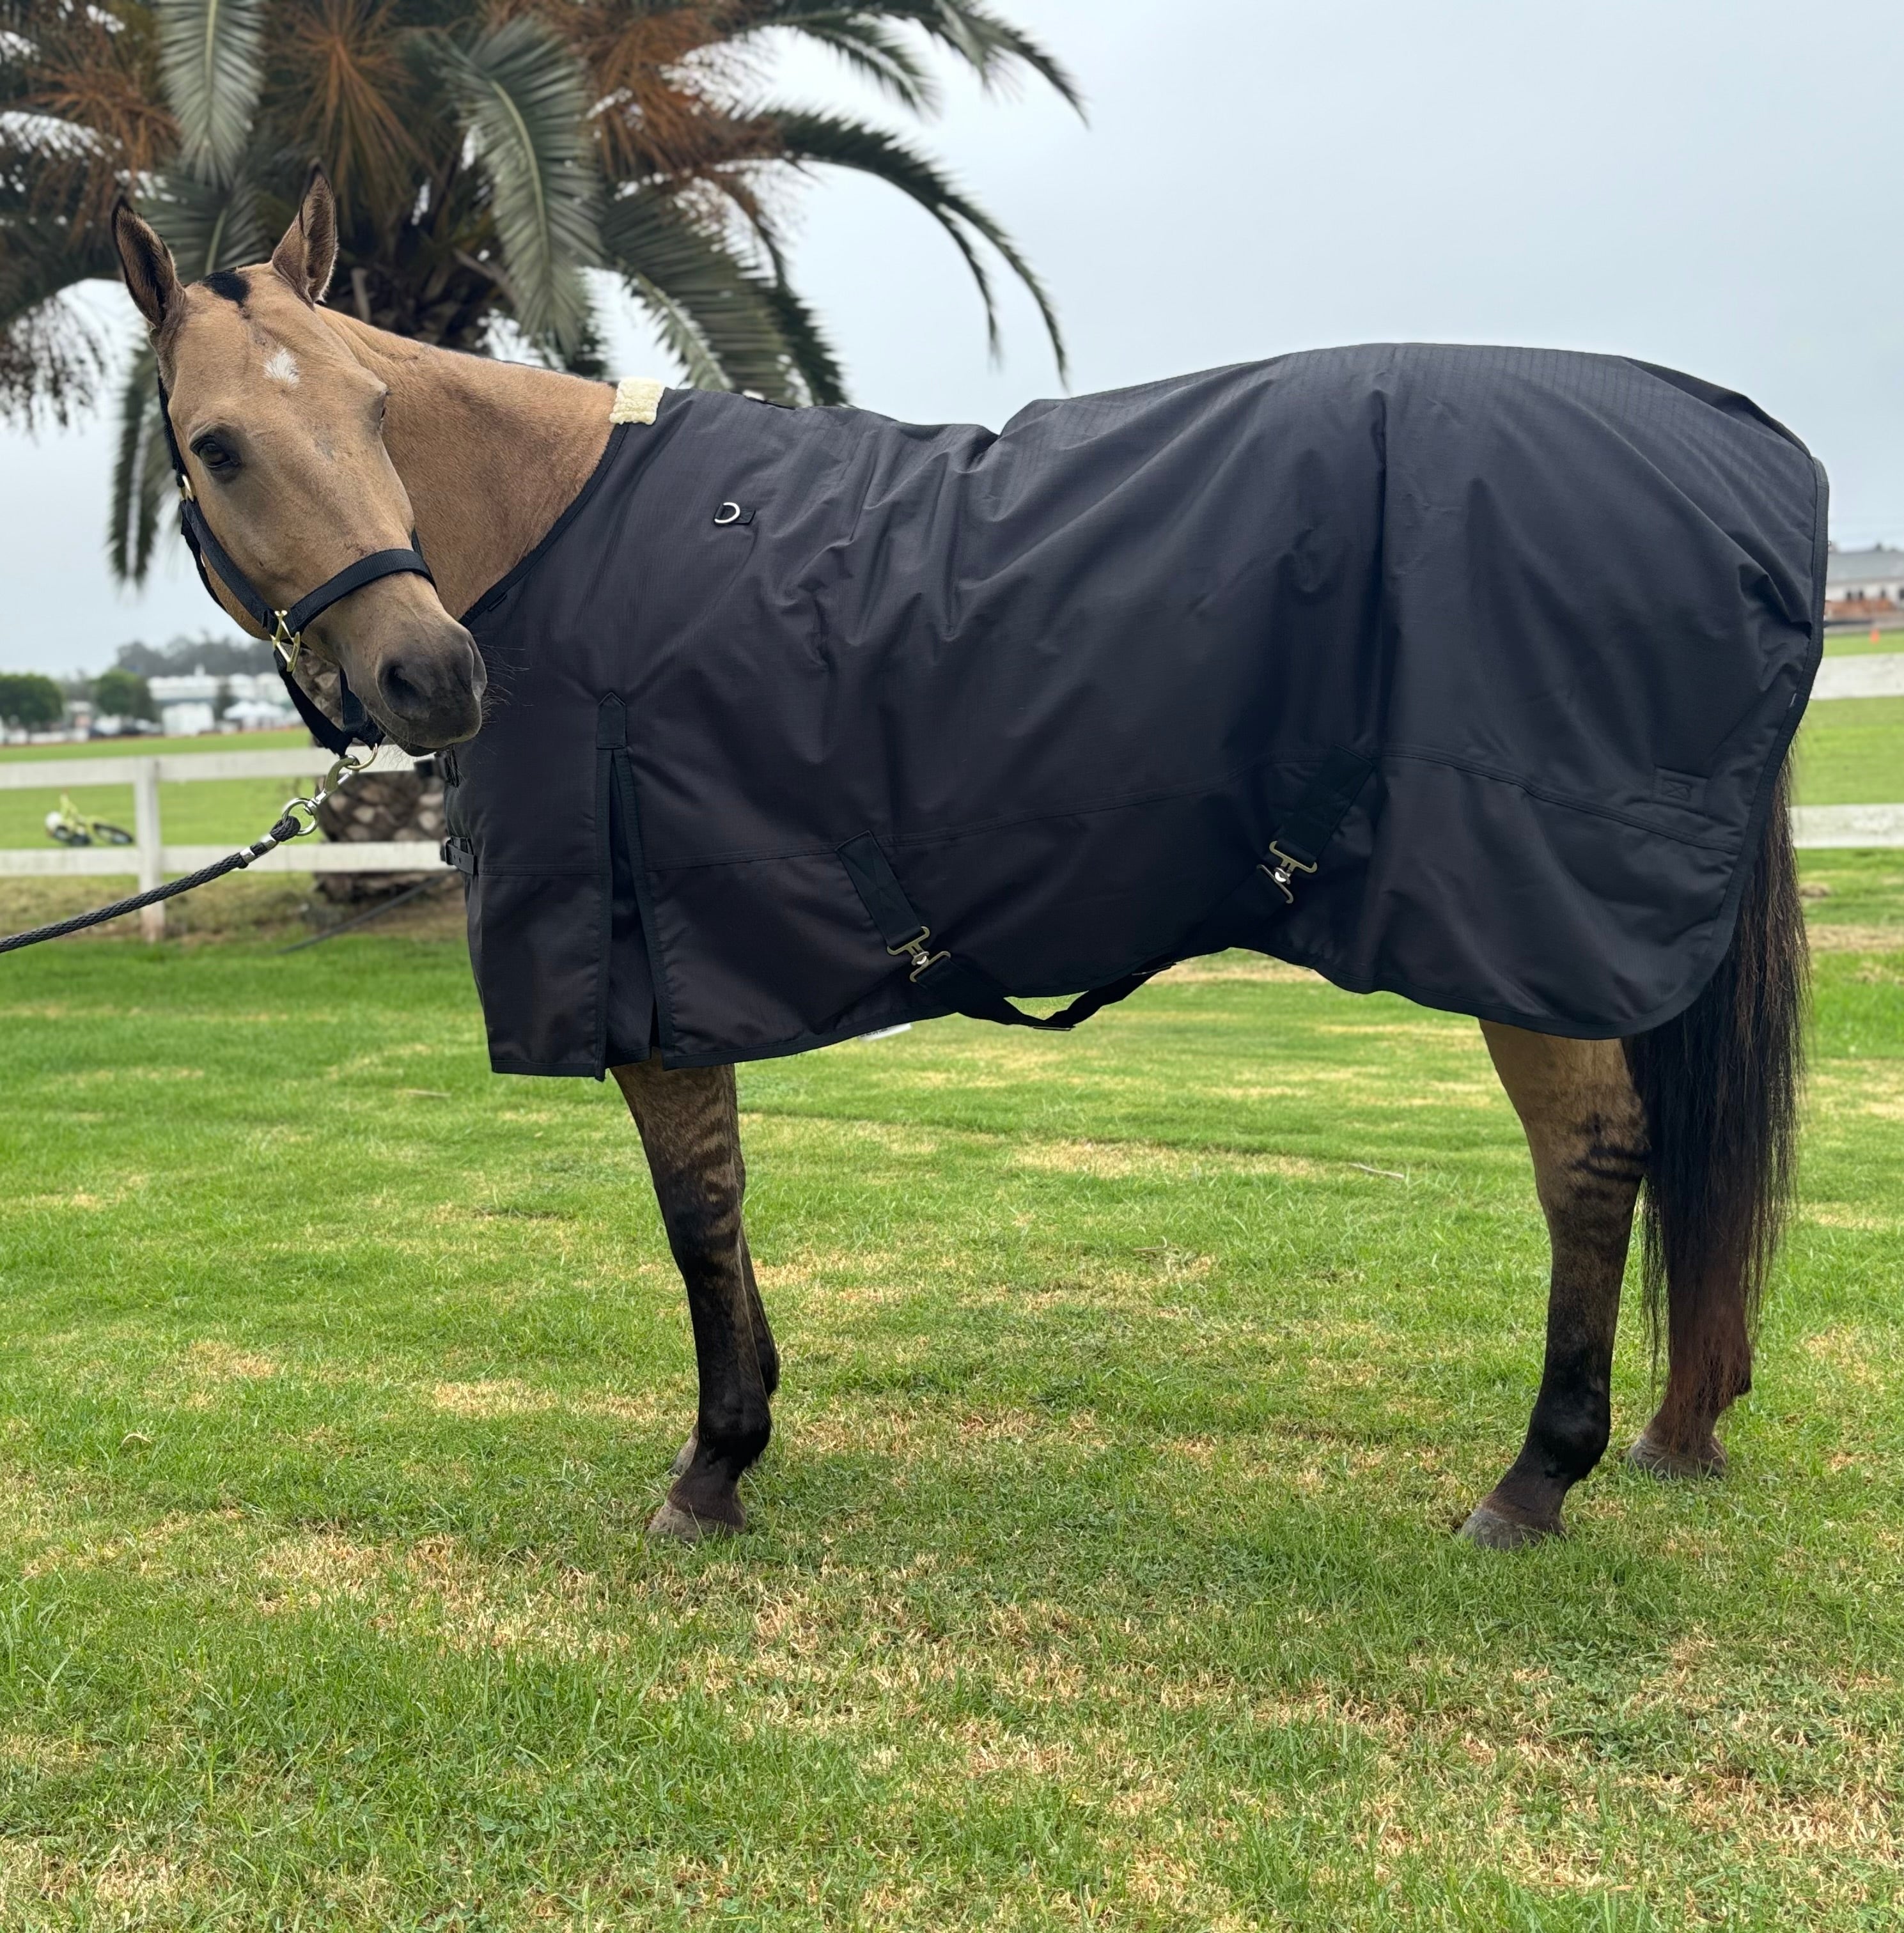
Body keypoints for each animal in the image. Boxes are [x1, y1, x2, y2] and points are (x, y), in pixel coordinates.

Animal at [106, 172, 1808, 1551]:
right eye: (221, 444)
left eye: (376, 414)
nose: (432, 677)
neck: (560, 530)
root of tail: (1743, 459)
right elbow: (725, 1202)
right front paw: (751, 1426)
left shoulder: (650, 981)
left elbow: (695, 1208)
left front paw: (713, 1466)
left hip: (1525, 939)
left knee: (1591, 1162)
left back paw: (1535, 1478)